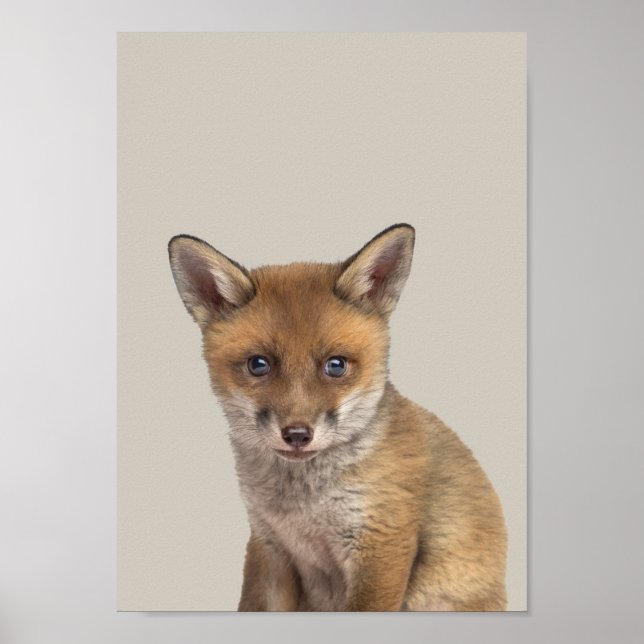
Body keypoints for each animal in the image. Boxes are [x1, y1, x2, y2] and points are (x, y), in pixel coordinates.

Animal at [168, 223, 507, 611]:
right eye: (258, 365)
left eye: (335, 365)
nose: (297, 434)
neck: (302, 507)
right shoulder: (269, 545)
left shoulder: (381, 545)